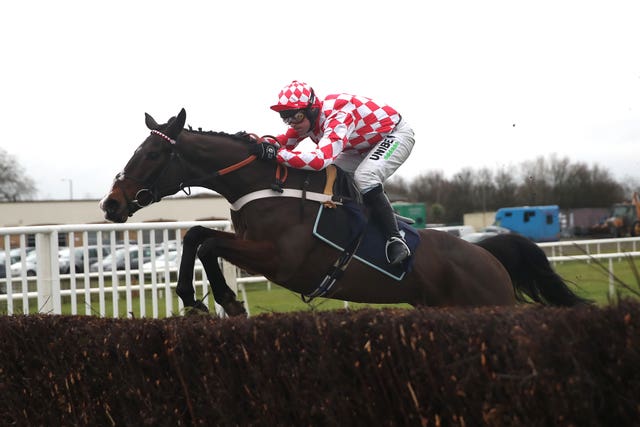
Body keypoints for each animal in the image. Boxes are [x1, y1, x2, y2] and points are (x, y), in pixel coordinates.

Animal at [99, 109, 584, 318]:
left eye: (153, 154)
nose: (111, 203)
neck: (268, 186)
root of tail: (489, 255)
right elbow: (196, 236)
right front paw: (196, 298)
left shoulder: (282, 261)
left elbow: (206, 240)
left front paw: (225, 300)